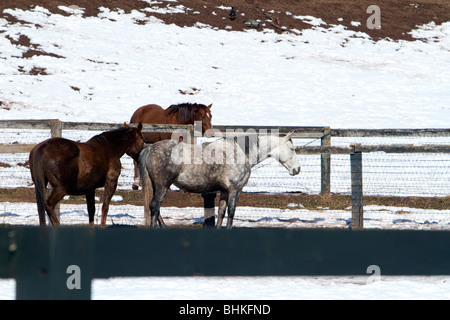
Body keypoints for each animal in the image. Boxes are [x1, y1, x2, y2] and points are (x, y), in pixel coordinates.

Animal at [137, 132, 298, 228]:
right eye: (292, 148)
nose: (297, 169)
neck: (240, 153)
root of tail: (149, 149)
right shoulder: (235, 190)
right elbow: (231, 212)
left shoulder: (224, 191)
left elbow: (221, 212)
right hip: (163, 186)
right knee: (154, 207)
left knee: (156, 209)